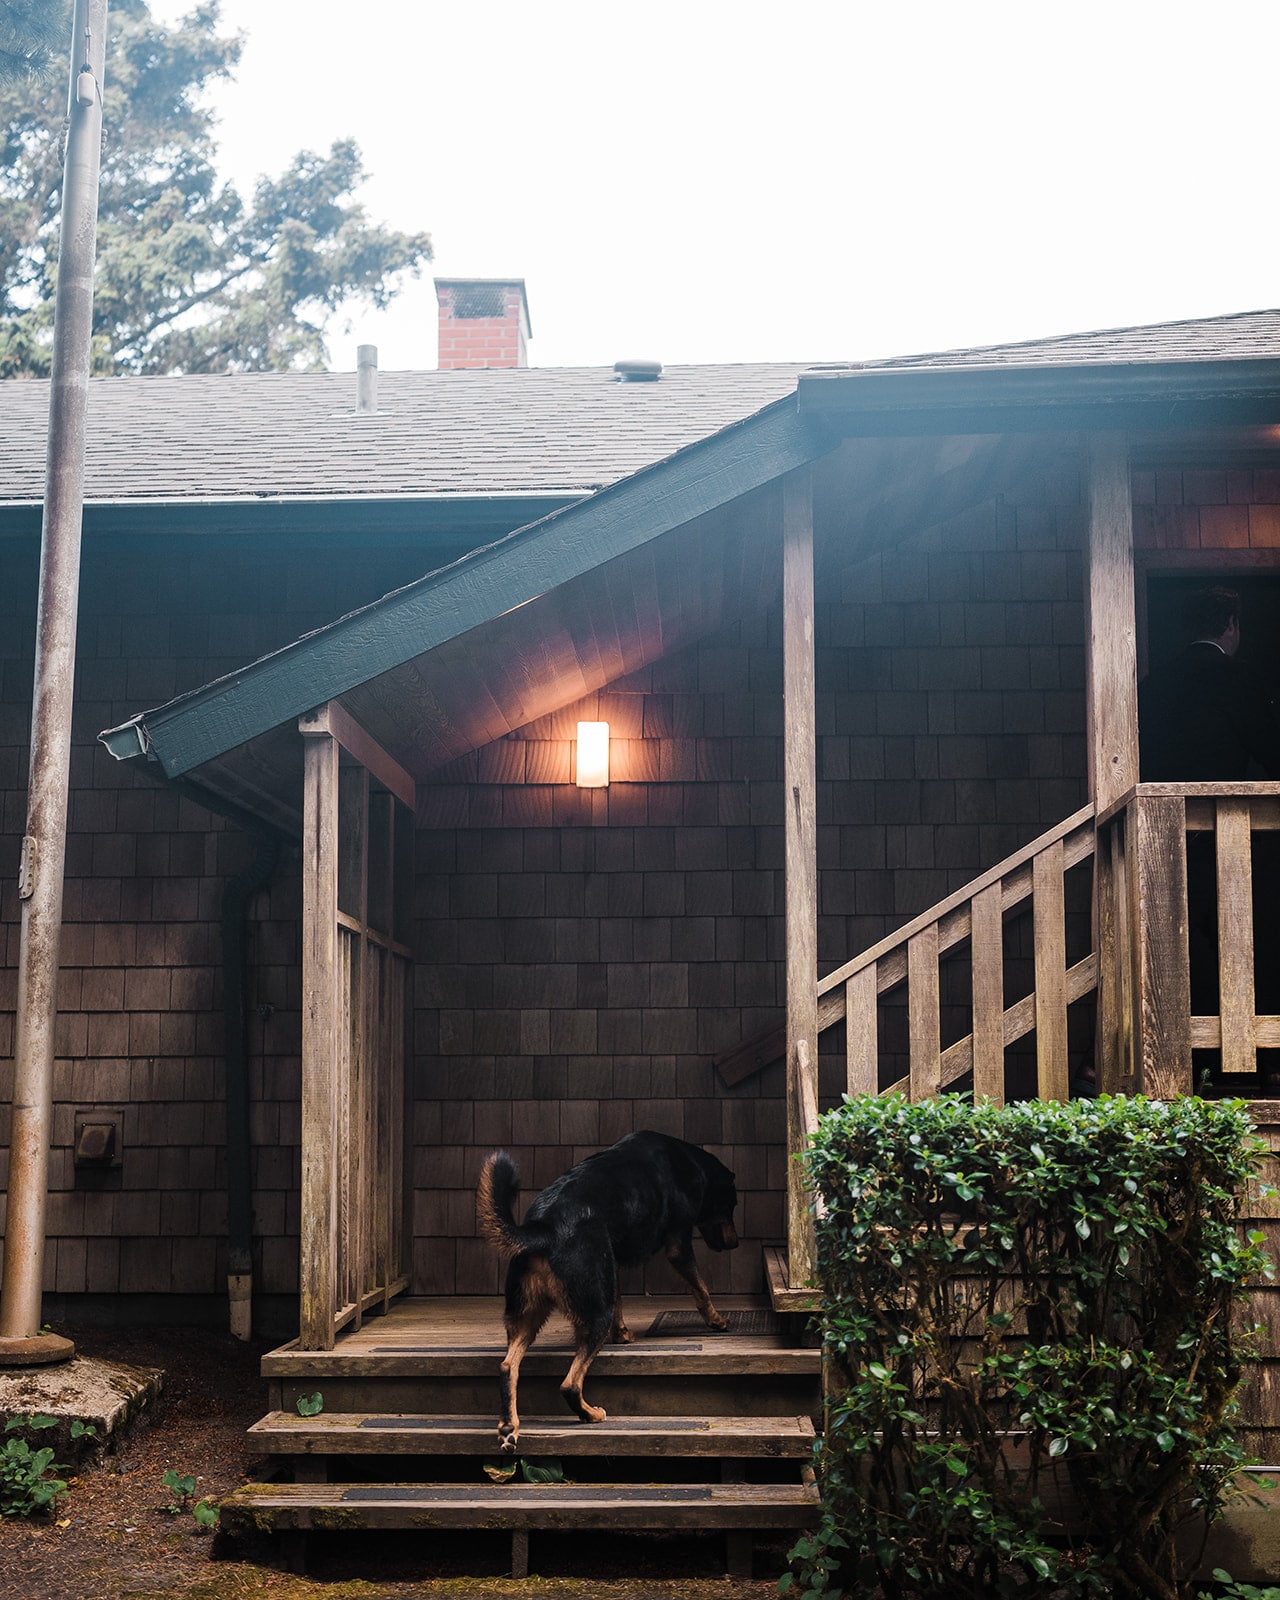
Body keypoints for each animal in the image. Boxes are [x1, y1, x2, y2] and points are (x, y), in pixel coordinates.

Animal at [476, 1132, 739, 1459]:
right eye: (731, 1206)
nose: (736, 1243)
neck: (691, 1162)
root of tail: (543, 1228)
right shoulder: (678, 1245)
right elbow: (701, 1288)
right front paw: (716, 1320)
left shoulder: (611, 1258)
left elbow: (620, 1301)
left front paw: (622, 1333)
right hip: (592, 1313)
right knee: (570, 1384)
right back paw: (590, 1415)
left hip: (527, 1316)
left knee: (507, 1366)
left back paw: (509, 1427)